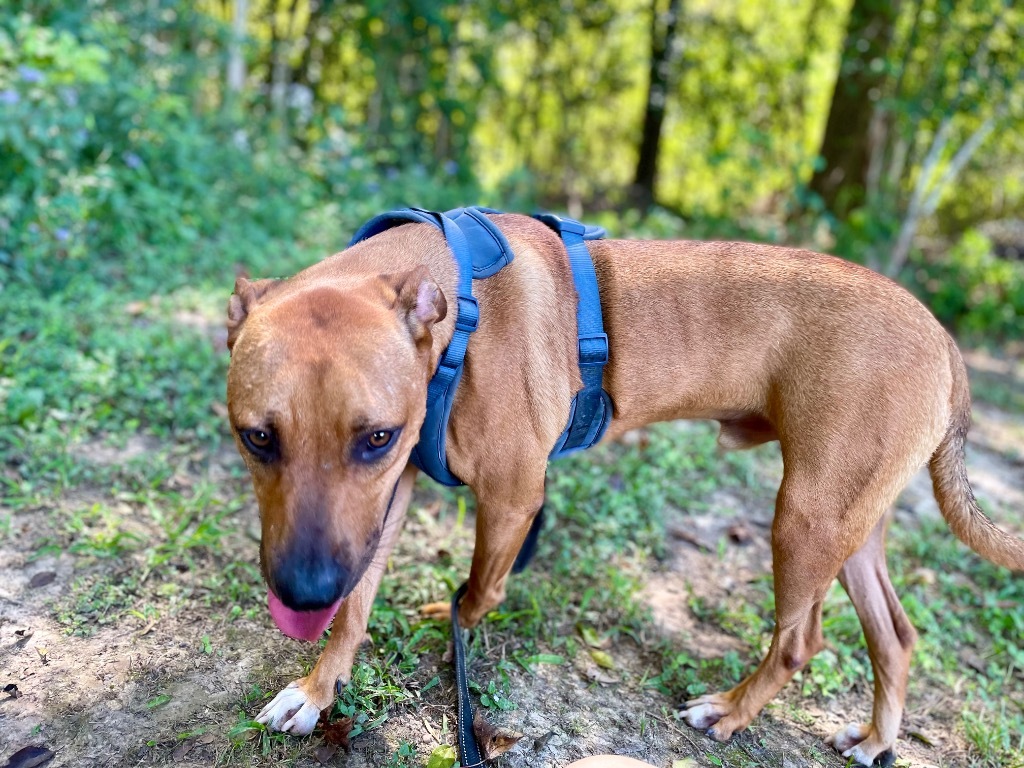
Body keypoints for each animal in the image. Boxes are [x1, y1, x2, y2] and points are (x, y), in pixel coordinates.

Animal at [224, 214, 1024, 765]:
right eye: (256, 437)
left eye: (375, 437)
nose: (301, 593)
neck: (454, 315)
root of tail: (944, 339)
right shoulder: (386, 499)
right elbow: (356, 602)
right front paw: (317, 689)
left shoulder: (510, 496)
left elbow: (480, 590)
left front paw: (457, 634)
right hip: (852, 526)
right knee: (895, 637)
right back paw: (877, 739)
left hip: (805, 520)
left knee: (802, 641)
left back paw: (729, 713)